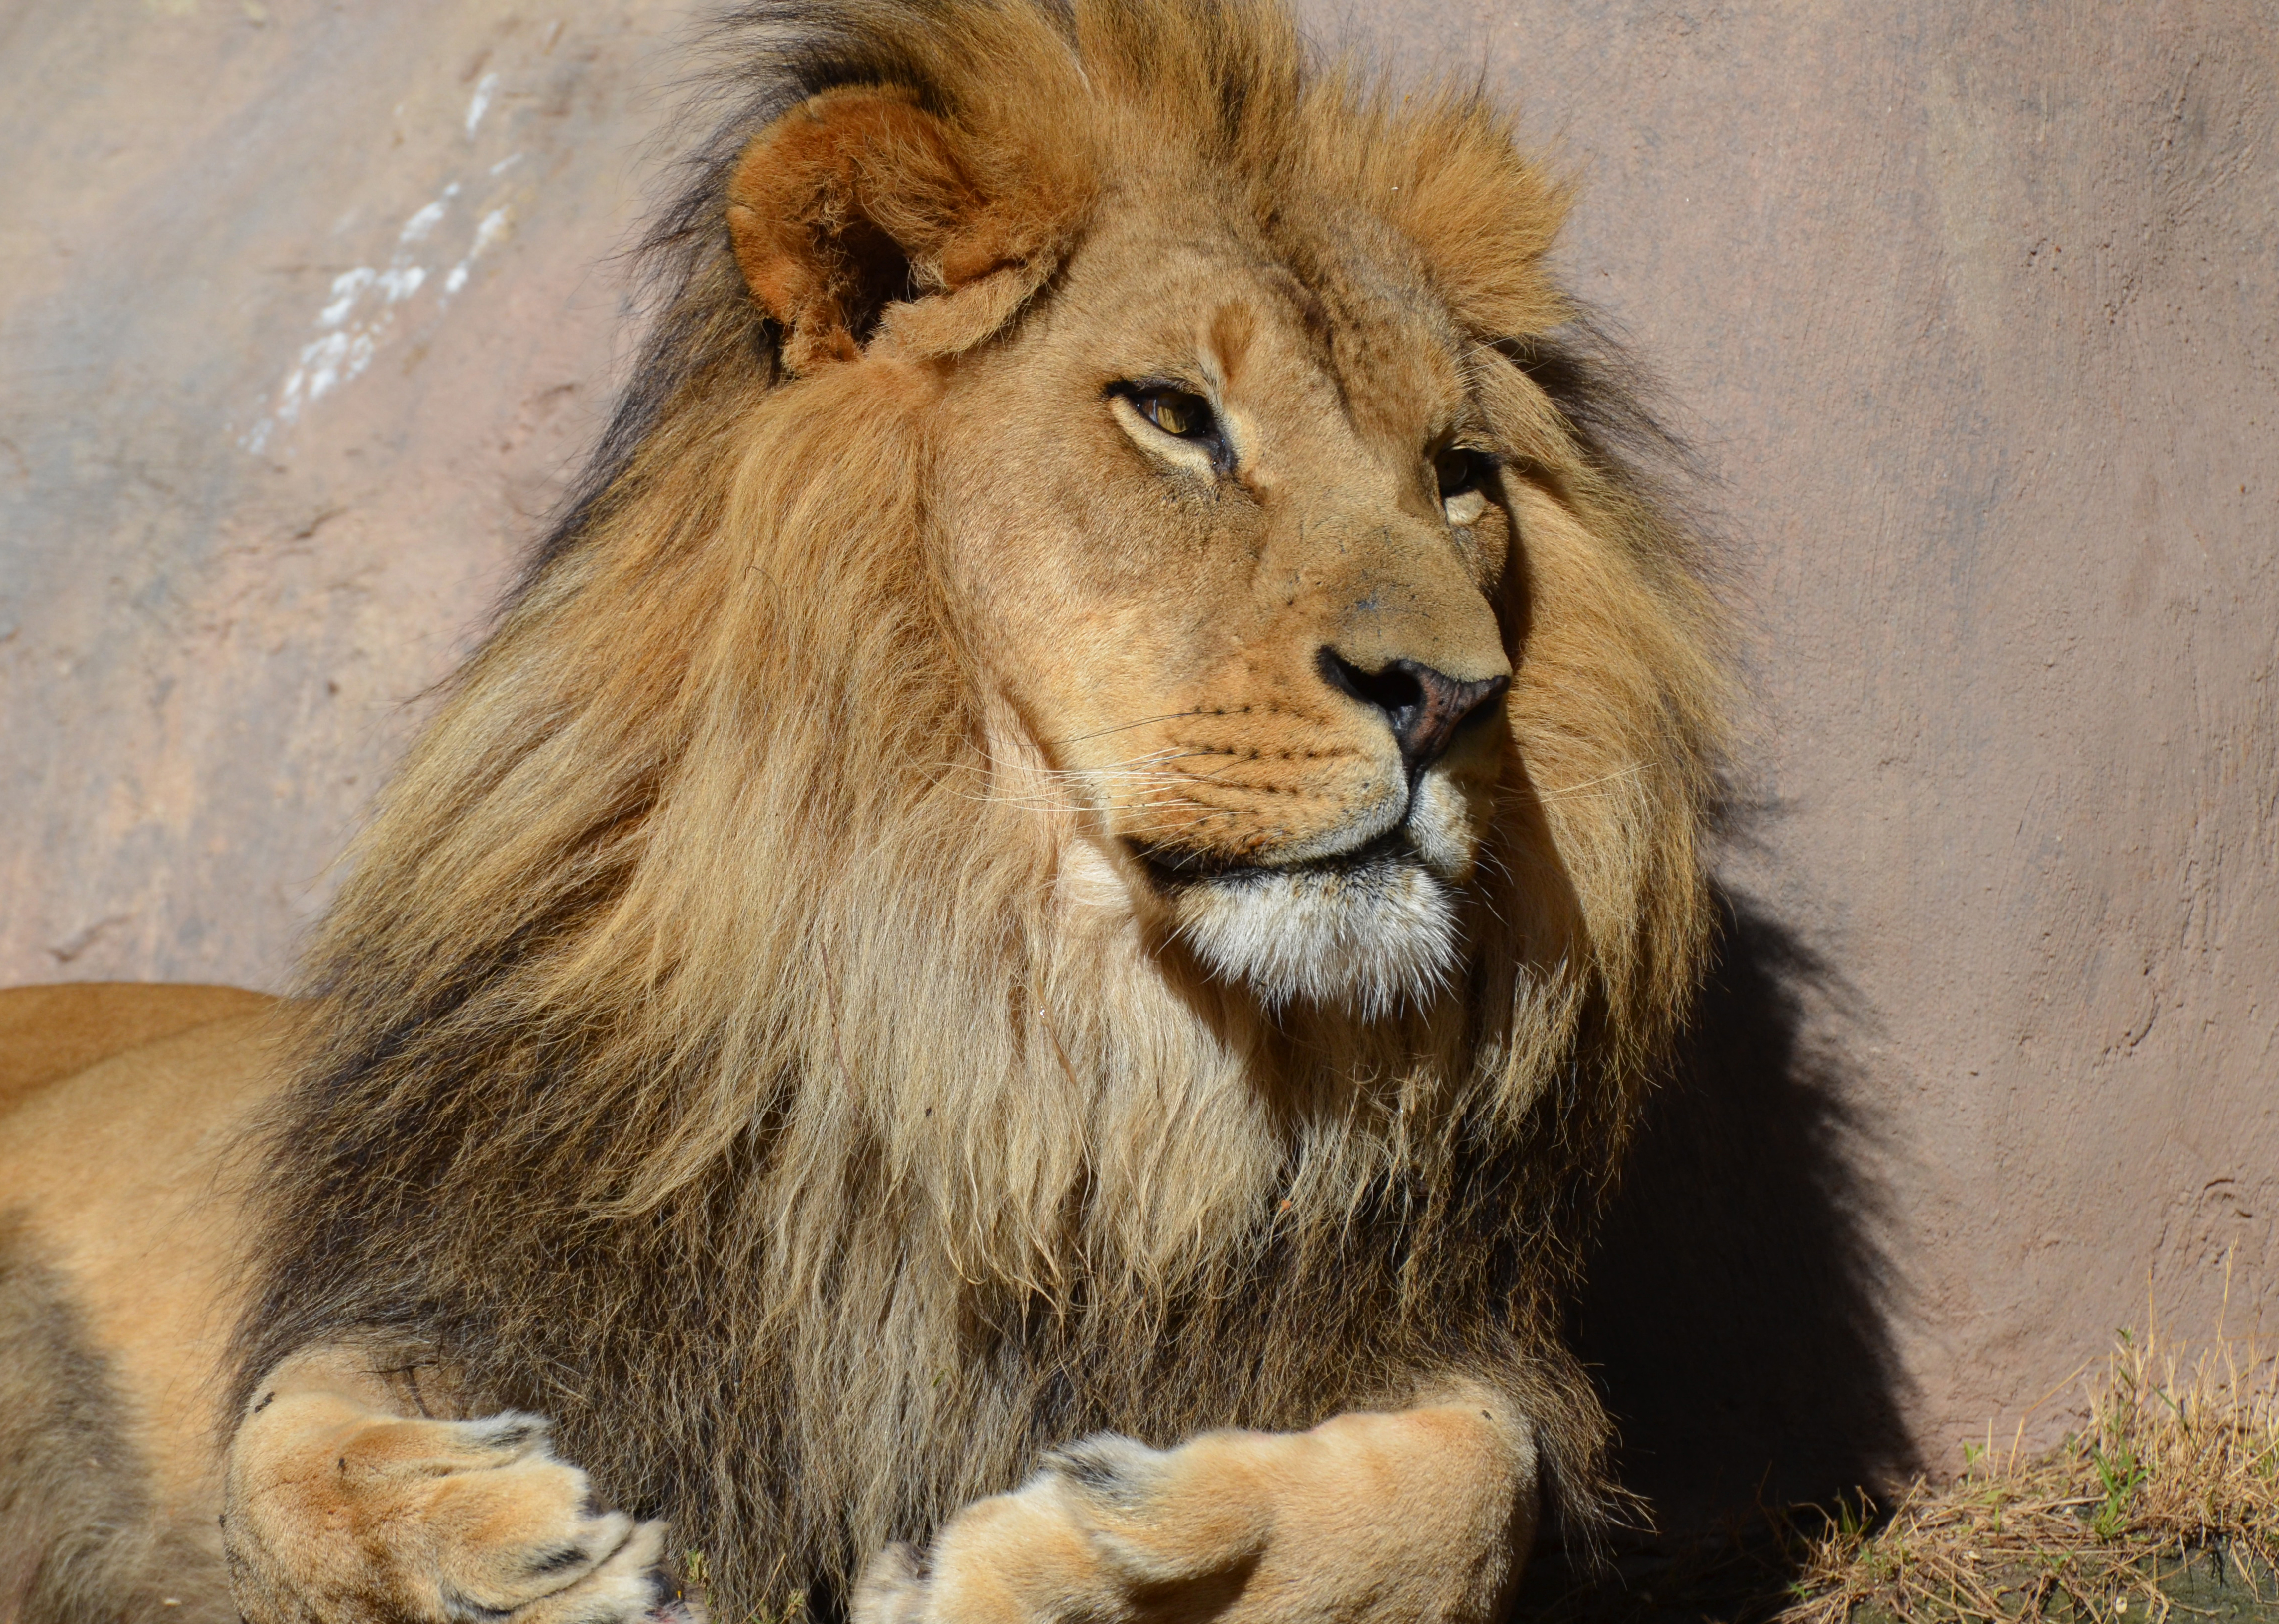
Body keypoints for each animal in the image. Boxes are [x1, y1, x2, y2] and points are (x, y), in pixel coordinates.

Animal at [0, 1, 1728, 1620]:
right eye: (1173, 414)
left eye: (1457, 472)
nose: (1452, 695)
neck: (1020, 1063)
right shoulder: (464, 1267)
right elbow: (275, 1456)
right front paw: (513, 1549)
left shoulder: (1452, 1352)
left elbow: (1468, 1490)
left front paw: (1071, 1558)